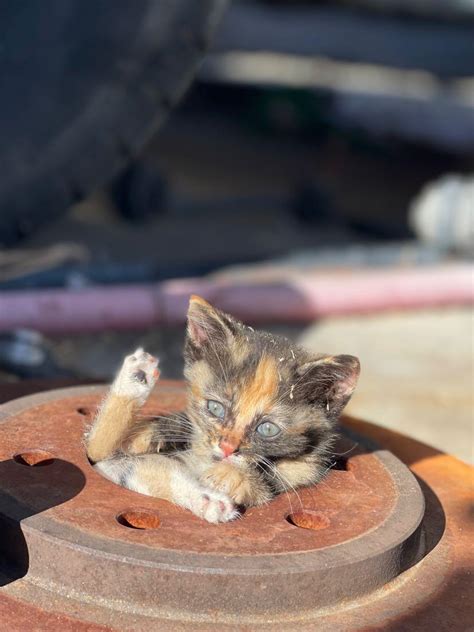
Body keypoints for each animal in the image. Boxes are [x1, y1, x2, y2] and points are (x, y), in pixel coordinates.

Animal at [86, 296, 360, 524]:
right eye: (215, 408)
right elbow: (96, 446)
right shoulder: (104, 460)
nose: (227, 448)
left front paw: (224, 484)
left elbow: (277, 479)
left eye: (267, 429)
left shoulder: (306, 470)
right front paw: (144, 420)